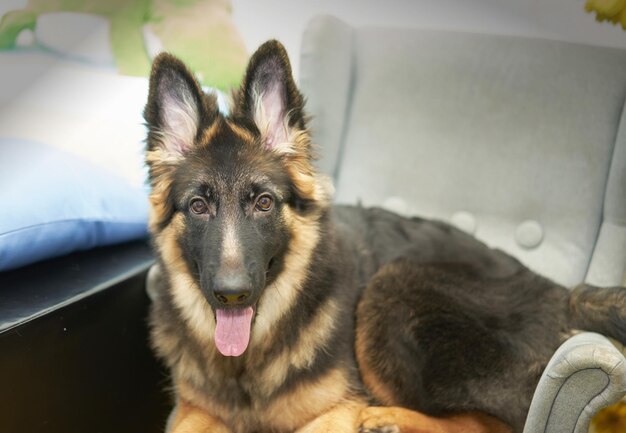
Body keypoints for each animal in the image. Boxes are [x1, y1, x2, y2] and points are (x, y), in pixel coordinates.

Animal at [144, 40, 624, 432]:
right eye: (198, 206)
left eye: (263, 202)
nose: (232, 294)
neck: (248, 358)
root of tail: (565, 293)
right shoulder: (192, 412)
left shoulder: (336, 409)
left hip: (392, 287)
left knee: (492, 424)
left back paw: (387, 419)